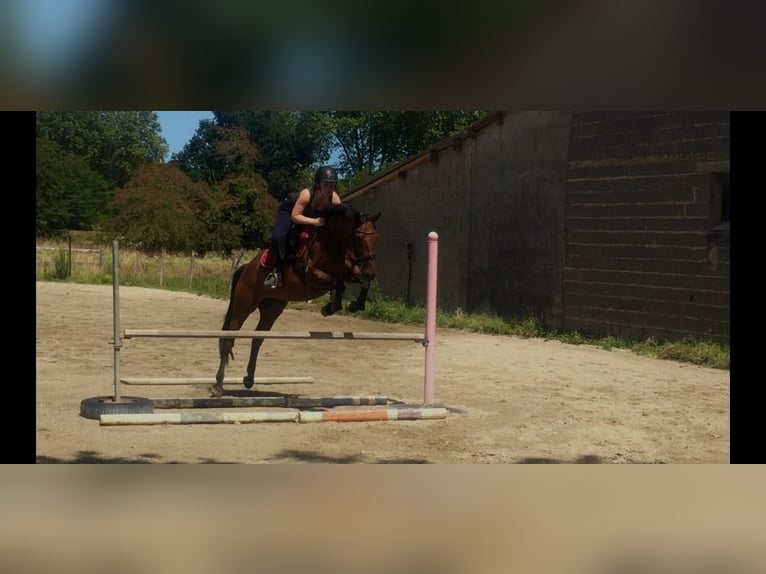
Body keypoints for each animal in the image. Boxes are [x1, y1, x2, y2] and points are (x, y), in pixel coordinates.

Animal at [212, 203, 381, 397]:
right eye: (359, 238)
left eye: (376, 238)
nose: (371, 272)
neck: (332, 245)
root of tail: (247, 268)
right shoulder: (312, 277)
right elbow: (338, 284)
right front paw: (330, 307)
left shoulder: (350, 271)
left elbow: (360, 282)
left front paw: (355, 305)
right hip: (244, 305)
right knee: (229, 339)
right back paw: (218, 386)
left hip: (272, 309)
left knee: (257, 339)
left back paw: (248, 379)